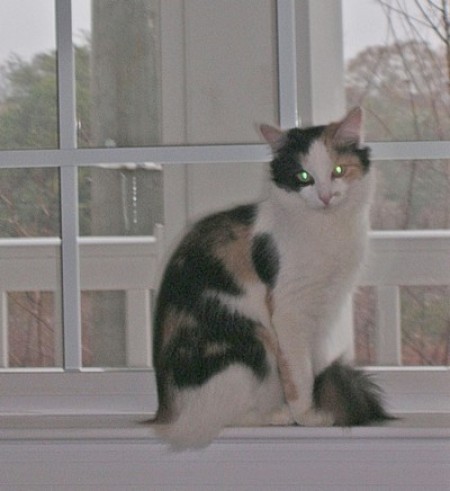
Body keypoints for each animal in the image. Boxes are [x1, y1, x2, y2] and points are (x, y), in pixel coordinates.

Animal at [152, 108, 390, 450]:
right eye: (303, 177)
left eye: (338, 171)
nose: (325, 196)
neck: (326, 227)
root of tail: (166, 413)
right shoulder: (289, 311)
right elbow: (299, 373)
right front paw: (308, 415)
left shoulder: (326, 305)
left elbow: (313, 364)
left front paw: (321, 399)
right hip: (253, 343)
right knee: (216, 420)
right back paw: (278, 415)